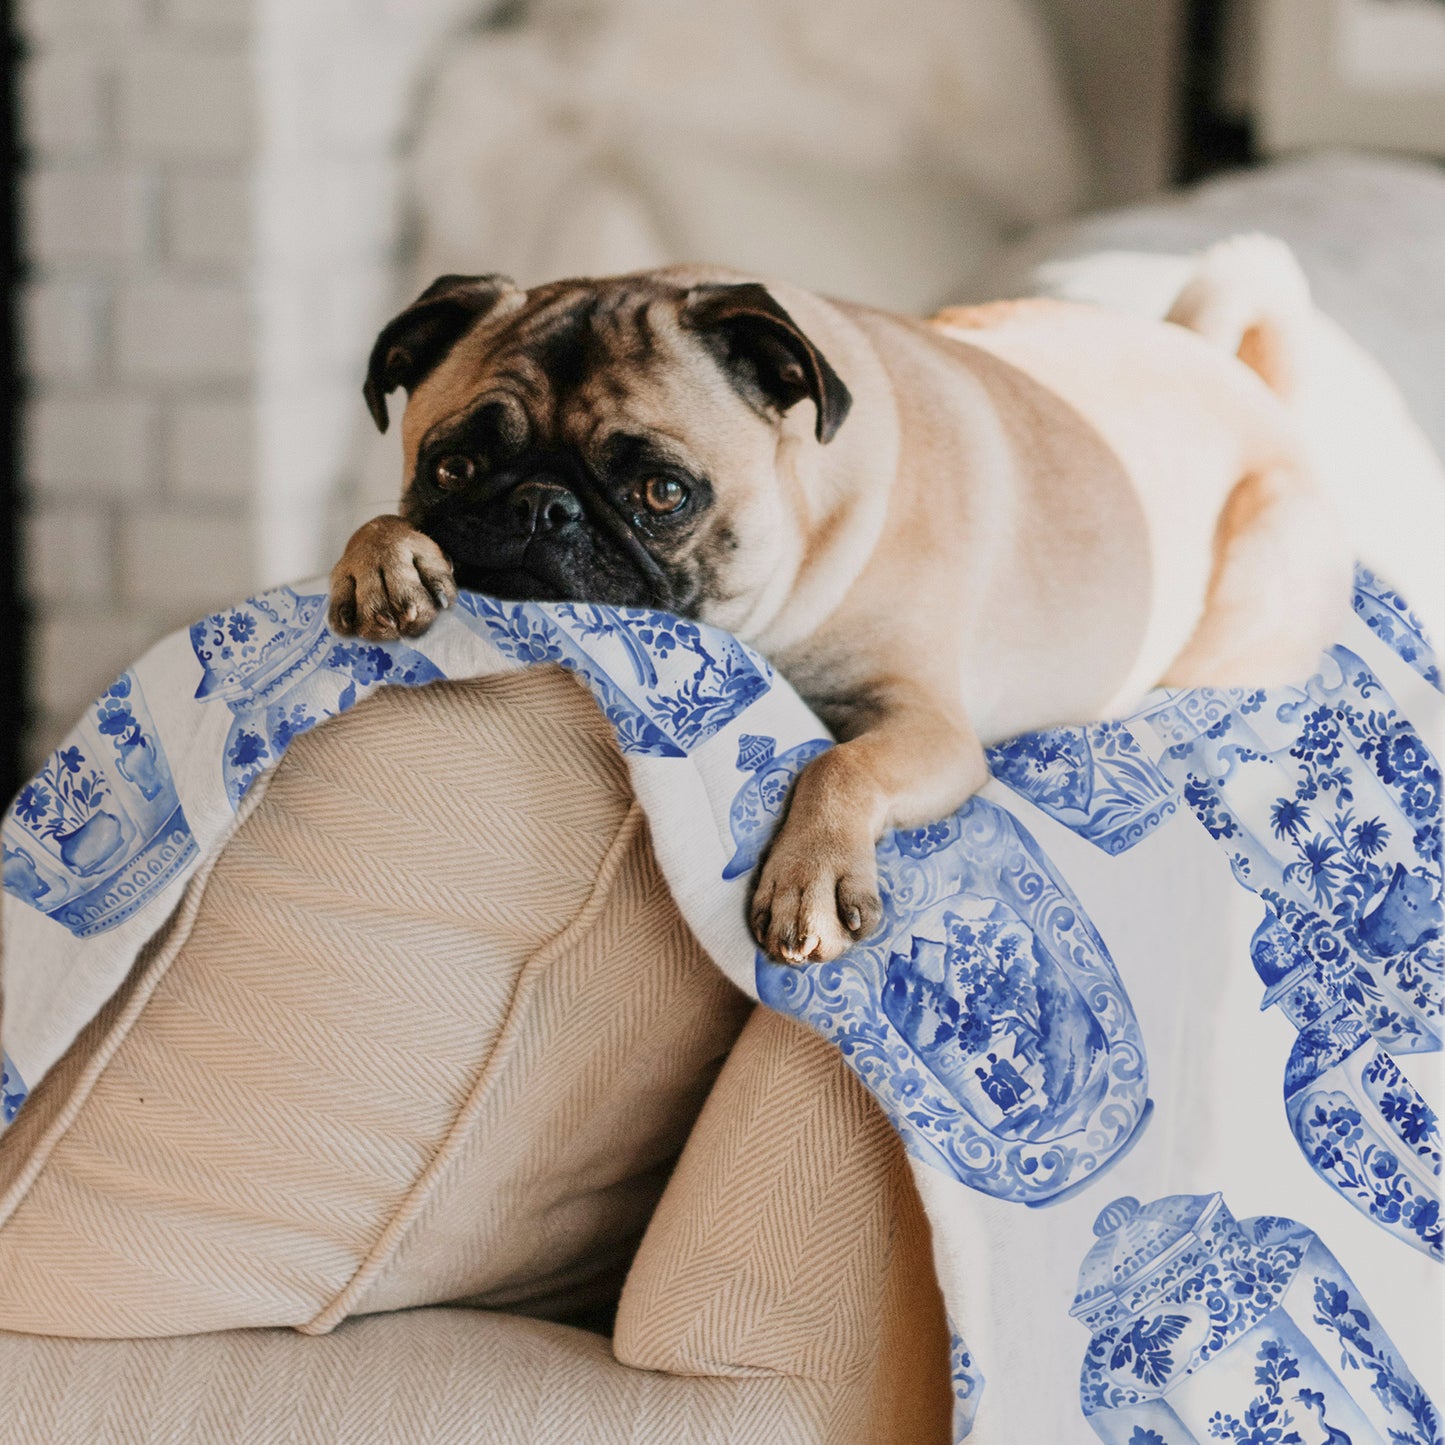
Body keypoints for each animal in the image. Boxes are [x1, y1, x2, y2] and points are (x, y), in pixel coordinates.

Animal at [332, 251, 1346, 959]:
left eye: (664, 493)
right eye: (452, 466)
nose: (543, 507)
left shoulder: (930, 728)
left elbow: (839, 766)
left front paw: (810, 876)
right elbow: (377, 523)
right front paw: (380, 559)